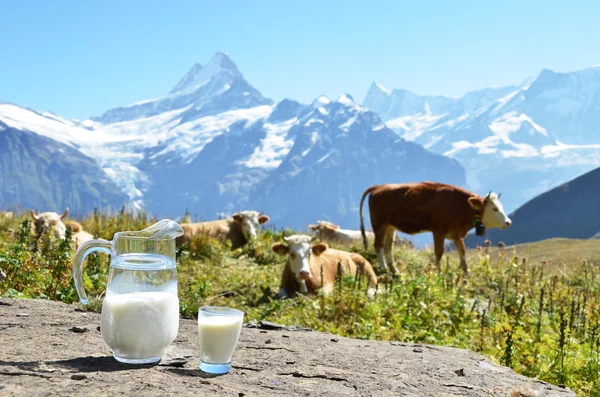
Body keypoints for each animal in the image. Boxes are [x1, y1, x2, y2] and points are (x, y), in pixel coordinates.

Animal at [358, 181, 512, 274]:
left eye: (501, 207)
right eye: (494, 209)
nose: (508, 222)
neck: (460, 206)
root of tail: (379, 187)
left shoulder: (456, 233)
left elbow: (462, 251)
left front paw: (467, 272)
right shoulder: (438, 231)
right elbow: (439, 252)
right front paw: (438, 271)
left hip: (390, 226)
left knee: (388, 246)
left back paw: (394, 269)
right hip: (379, 224)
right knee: (378, 245)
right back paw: (384, 268)